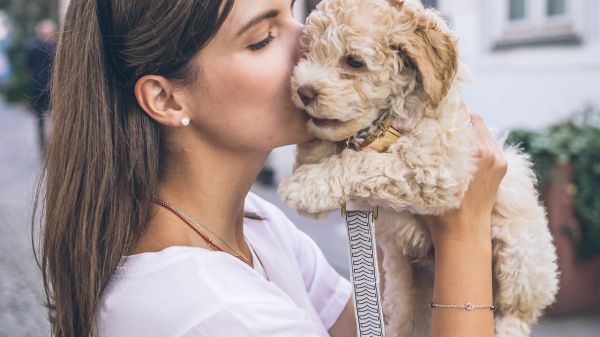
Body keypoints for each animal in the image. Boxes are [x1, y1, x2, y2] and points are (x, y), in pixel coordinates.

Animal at [278, 0, 560, 336]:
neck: (383, 126)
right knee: (403, 315)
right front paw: (312, 153)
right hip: (408, 282)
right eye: (307, 51)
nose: (303, 92)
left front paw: (304, 185)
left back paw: (507, 325)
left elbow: (365, 162)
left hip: (523, 255)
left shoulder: (437, 168)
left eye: (354, 62)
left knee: (519, 310)